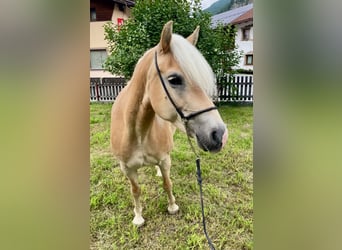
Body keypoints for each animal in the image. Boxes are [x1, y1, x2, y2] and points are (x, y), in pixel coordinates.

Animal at [111, 20, 228, 227]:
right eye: (174, 79)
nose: (220, 134)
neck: (138, 133)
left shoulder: (165, 159)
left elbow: (167, 183)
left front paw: (172, 207)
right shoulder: (127, 168)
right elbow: (136, 191)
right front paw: (138, 217)